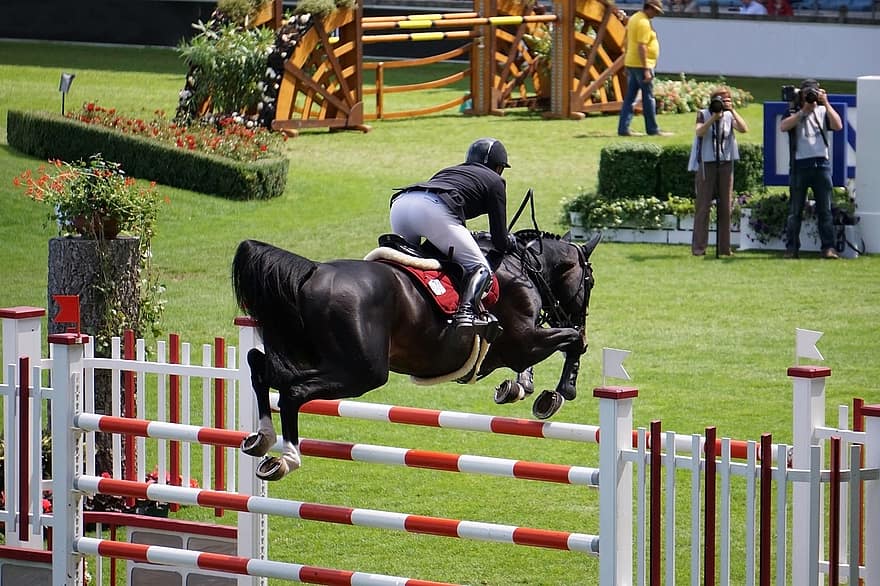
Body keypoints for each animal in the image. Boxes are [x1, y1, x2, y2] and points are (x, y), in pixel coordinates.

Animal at [232, 229, 600, 480]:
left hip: (313, 355)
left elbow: (542, 358)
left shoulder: (515, 348)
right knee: (292, 392)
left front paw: (518, 387)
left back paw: (262, 439)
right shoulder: (523, 341)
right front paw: (557, 394)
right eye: (590, 281)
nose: (577, 316)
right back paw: (286, 458)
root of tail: (312, 272)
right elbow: (574, 342)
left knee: (260, 366)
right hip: (362, 373)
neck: (523, 267)